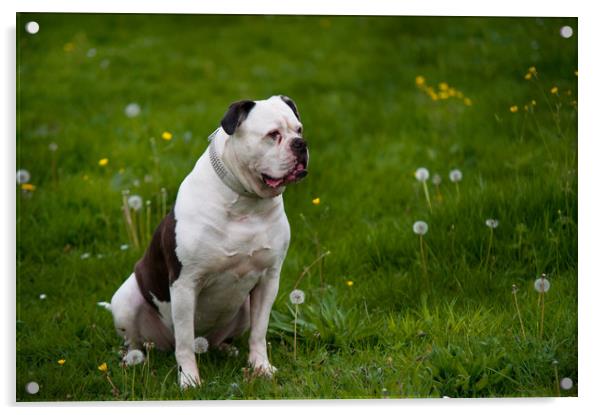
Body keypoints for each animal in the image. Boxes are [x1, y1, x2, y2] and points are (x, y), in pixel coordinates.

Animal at [101, 96, 308, 390]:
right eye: (273, 135)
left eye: (299, 130)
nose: (301, 144)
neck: (246, 203)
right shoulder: (186, 284)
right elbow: (186, 341)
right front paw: (189, 380)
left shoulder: (268, 279)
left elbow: (259, 331)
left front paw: (261, 368)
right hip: (126, 300)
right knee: (141, 340)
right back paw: (131, 358)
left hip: (243, 306)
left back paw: (227, 349)